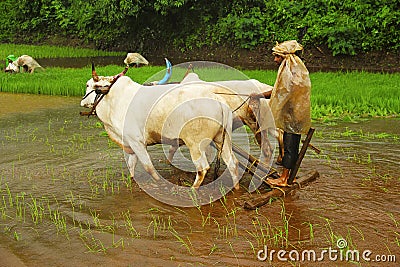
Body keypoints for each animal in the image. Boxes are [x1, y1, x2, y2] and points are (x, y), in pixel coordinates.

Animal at [79, 66, 239, 189]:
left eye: (87, 85)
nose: (82, 101)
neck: (113, 99)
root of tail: (218, 99)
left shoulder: (136, 142)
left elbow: (148, 167)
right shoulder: (130, 143)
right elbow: (131, 166)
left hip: (196, 144)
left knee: (203, 168)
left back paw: (193, 190)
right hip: (223, 139)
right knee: (233, 163)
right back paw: (236, 187)